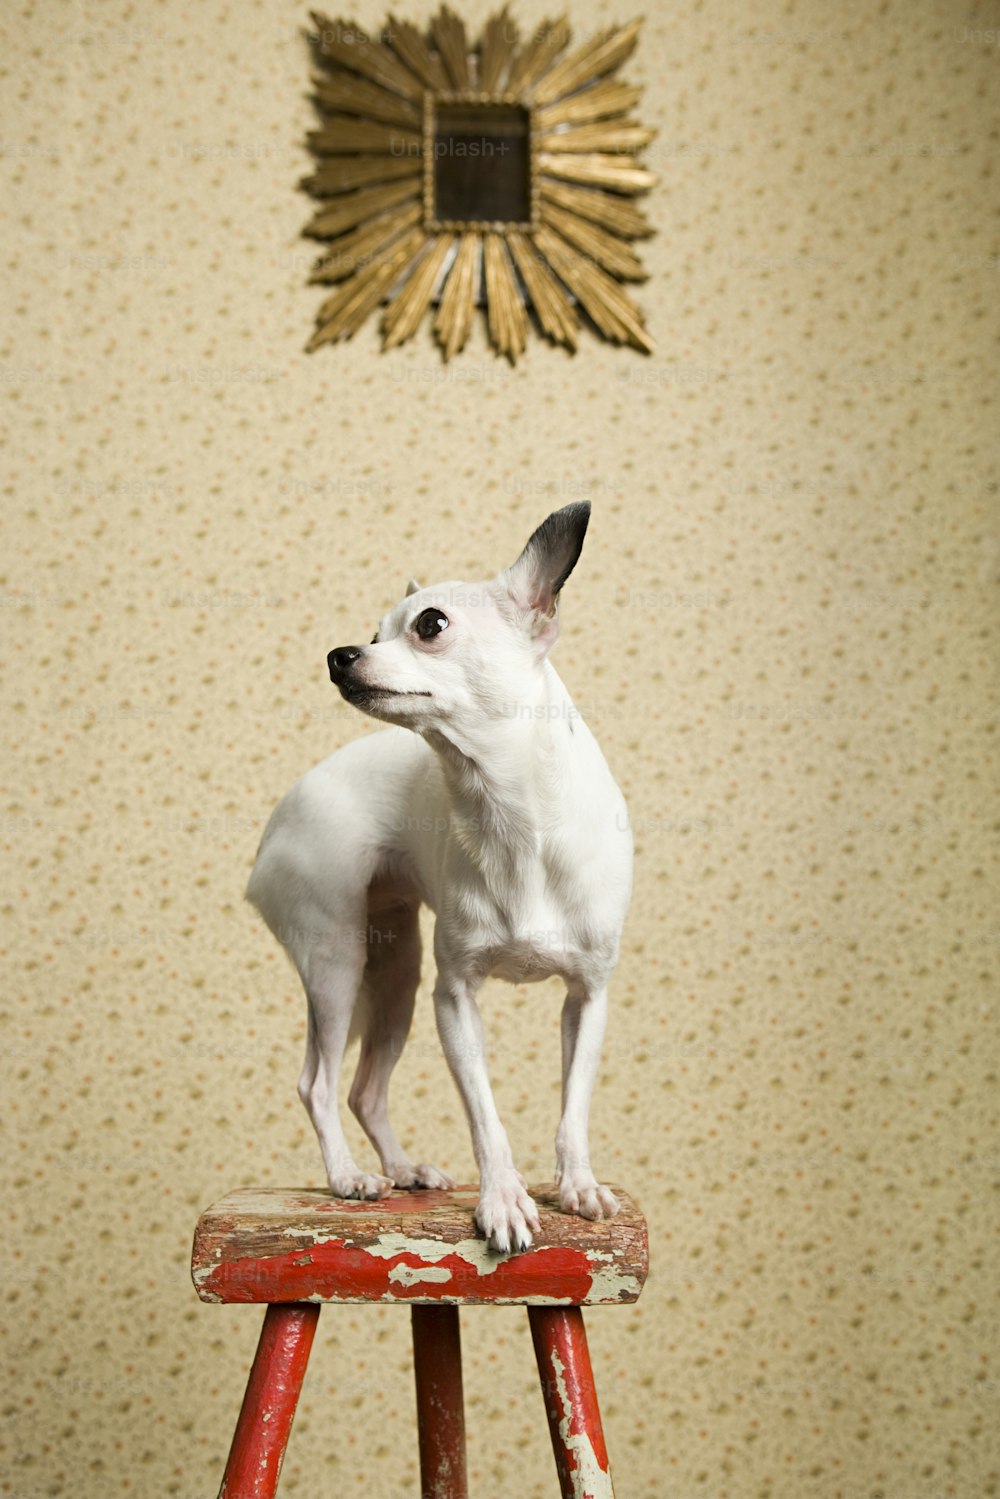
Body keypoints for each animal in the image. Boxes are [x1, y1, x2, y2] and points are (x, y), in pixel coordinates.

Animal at [245, 503, 629, 1253]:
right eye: (373, 633)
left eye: (429, 625)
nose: (340, 654)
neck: (512, 814)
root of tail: (277, 820)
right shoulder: (455, 1000)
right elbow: (487, 1120)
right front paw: (504, 1200)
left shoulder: (587, 998)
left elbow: (572, 1107)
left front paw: (576, 1186)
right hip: (338, 963)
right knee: (318, 1083)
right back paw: (349, 1176)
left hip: (394, 974)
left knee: (364, 1089)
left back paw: (401, 1169)